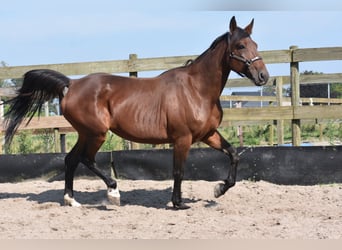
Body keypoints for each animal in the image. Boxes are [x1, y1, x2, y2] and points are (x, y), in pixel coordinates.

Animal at [2, 16, 270, 209]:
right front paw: (178, 203)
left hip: (85, 133)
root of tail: (71, 84)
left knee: (71, 159)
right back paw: (113, 192)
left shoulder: (208, 134)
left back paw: (71, 200)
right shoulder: (182, 139)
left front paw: (219, 189)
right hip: (97, 133)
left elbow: (234, 154)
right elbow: (179, 170)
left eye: (256, 44)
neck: (196, 89)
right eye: (240, 45)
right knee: (86, 159)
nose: (263, 76)